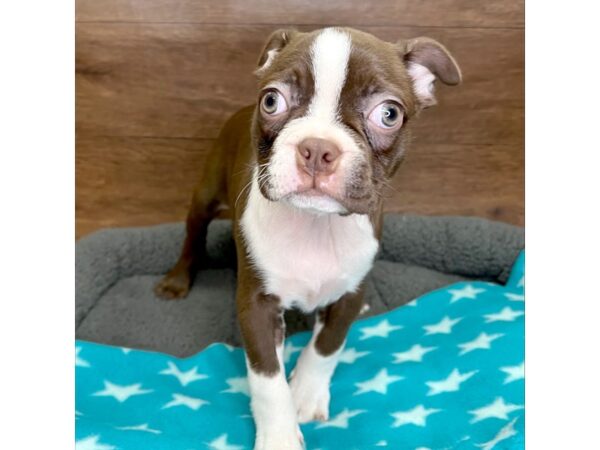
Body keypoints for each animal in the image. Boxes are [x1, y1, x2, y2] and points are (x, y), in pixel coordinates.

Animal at [155, 26, 460, 448]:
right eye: (271, 100)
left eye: (389, 113)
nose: (316, 148)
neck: (317, 224)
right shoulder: (257, 306)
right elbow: (268, 380)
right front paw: (280, 436)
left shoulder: (348, 294)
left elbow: (326, 345)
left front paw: (305, 394)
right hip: (205, 194)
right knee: (193, 236)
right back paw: (177, 280)